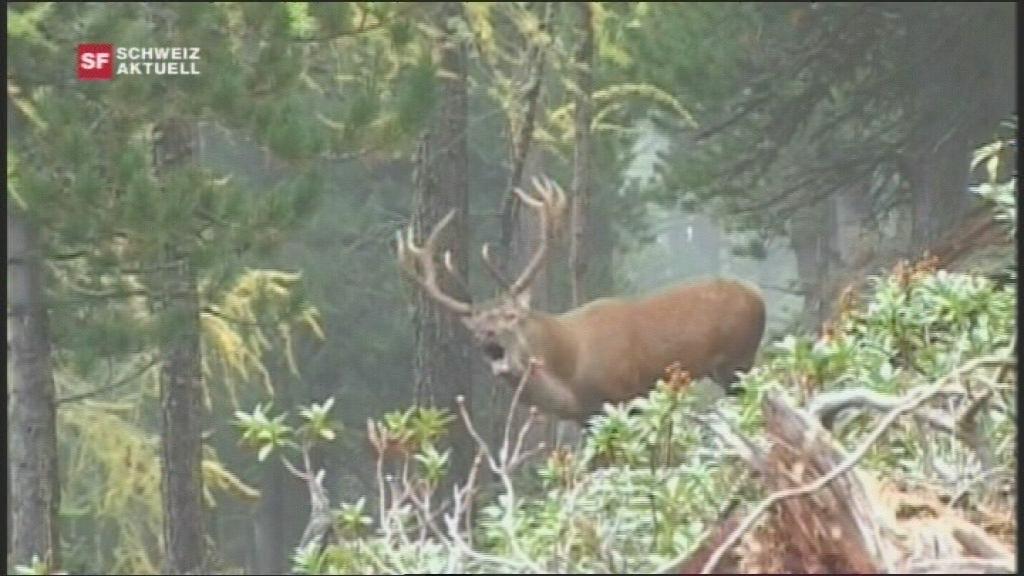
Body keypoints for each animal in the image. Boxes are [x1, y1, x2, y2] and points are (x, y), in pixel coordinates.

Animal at [396, 176, 766, 424]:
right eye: (474, 325)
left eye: (510, 316)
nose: (485, 336)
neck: (570, 372)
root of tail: (758, 296)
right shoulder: (586, 417)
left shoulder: (624, 395)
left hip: (737, 360)